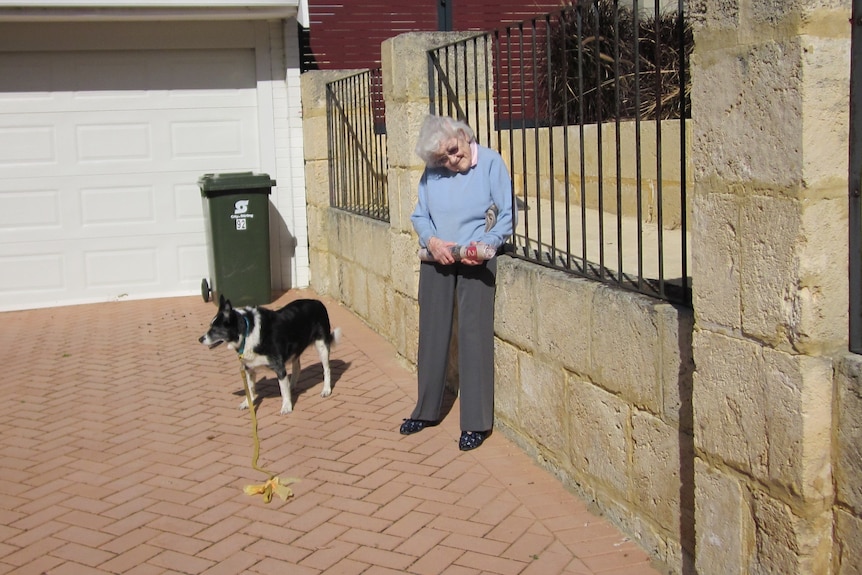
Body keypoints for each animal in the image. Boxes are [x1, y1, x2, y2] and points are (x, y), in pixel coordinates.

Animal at [200, 296, 340, 414]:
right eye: (210, 327)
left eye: (214, 330)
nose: (200, 339)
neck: (247, 333)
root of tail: (317, 302)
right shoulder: (249, 368)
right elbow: (250, 389)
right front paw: (247, 403)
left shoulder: (279, 367)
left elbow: (283, 391)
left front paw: (287, 406)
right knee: (297, 367)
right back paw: (291, 385)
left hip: (322, 346)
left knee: (326, 369)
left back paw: (326, 389)